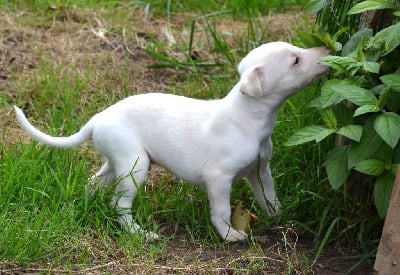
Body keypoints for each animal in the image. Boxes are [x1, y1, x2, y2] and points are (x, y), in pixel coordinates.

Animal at [14, 42, 330, 243]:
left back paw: (85, 204)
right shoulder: (218, 178)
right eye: (295, 60)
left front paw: (281, 217)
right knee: (119, 204)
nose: (329, 51)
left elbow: (270, 197)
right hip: (135, 165)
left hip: (117, 162)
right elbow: (222, 211)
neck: (249, 118)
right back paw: (140, 234)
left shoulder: (260, 170)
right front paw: (229, 235)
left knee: (94, 182)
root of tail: (95, 121)